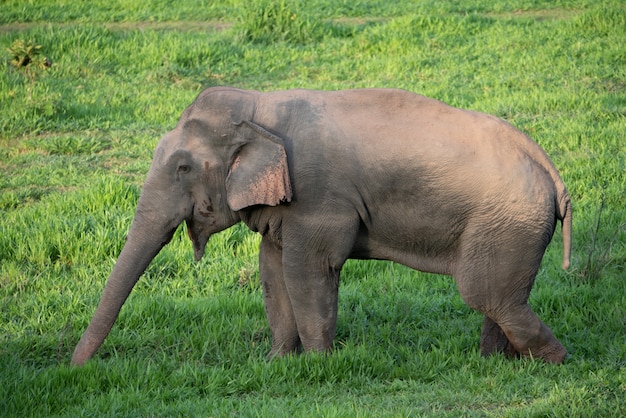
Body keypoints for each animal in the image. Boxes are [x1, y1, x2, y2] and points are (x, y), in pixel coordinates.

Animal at [69, 87, 572, 366]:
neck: (260, 105)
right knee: (500, 296)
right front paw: (275, 363)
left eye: (182, 168)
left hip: (505, 221)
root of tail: (550, 170)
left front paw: (317, 365)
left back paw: (555, 363)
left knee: (486, 293)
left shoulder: (317, 196)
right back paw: (494, 363)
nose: (74, 369)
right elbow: (272, 270)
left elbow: (308, 271)